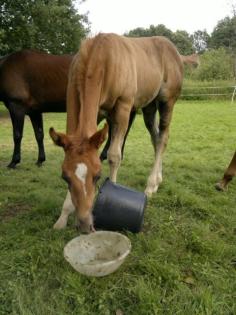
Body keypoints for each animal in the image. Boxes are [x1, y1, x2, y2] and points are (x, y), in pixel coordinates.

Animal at [50, 34, 188, 233]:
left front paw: (111, 196)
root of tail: (176, 52)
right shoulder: (83, 107)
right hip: (149, 106)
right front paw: (63, 216)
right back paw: (158, 180)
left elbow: (114, 155)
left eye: (98, 176)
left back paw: (150, 185)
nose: (84, 224)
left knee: (163, 138)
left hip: (167, 101)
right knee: (155, 139)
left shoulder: (123, 108)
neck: (102, 58)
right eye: (65, 177)